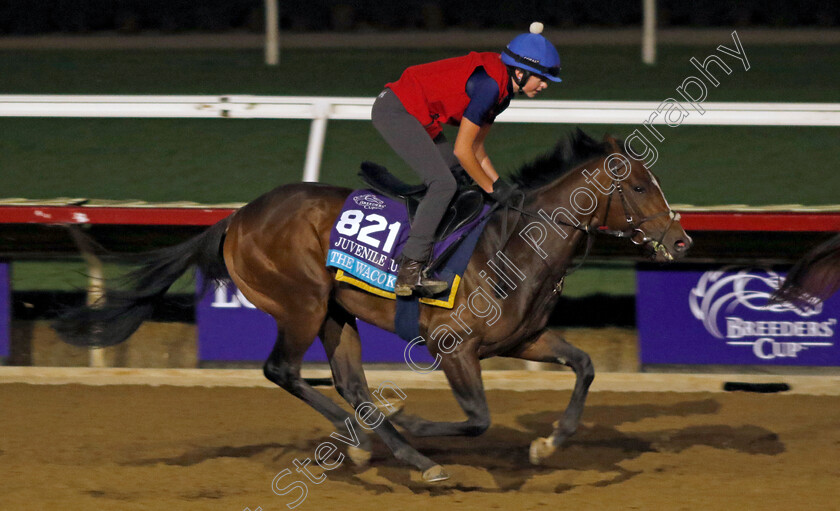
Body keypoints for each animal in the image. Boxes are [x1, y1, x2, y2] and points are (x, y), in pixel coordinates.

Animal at [55, 130, 692, 482]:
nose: (681, 241)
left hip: (337, 314)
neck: (517, 243)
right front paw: (410, 422)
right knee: (283, 370)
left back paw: (384, 446)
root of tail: (237, 218)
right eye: (640, 187)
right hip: (302, 302)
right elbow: (477, 417)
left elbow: (584, 365)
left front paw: (548, 442)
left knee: (349, 383)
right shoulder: (453, 347)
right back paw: (379, 446)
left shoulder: (524, 340)